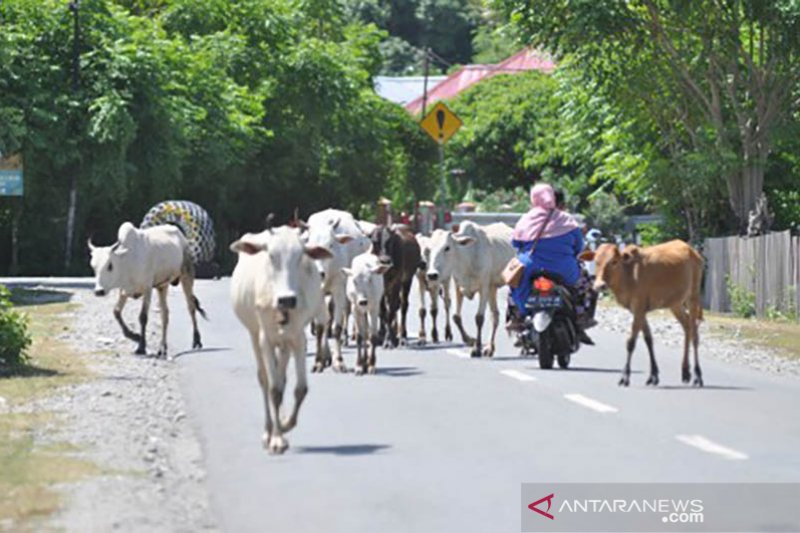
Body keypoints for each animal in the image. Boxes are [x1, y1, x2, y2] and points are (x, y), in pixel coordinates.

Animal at [88, 220, 206, 358]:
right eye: (93, 266)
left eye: (110, 265)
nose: (99, 291)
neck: (127, 261)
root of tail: (181, 237)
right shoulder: (124, 291)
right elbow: (116, 311)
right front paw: (133, 335)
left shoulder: (147, 289)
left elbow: (143, 317)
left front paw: (141, 347)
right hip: (162, 286)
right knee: (165, 314)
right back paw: (162, 348)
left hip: (187, 276)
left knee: (191, 307)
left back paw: (196, 340)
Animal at [228, 225, 332, 454]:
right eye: (271, 256)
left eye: (301, 256)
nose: (287, 299)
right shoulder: (264, 339)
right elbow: (273, 390)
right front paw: (276, 438)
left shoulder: (298, 338)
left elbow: (300, 388)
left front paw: (285, 425)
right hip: (254, 334)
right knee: (265, 380)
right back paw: (268, 431)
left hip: (284, 344)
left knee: (282, 377)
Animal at [304, 208, 370, 370]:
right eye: (311, 247)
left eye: (331, 245)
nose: (320, 273)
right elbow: (321, 327)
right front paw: (319, 361)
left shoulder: (339, 290)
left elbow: (336, 327)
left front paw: (338, 361)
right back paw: (326, 355)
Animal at [428, 220, 516, 358]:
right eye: (429, 249)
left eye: (447, 247)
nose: (432, 275)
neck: (467, 257)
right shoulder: (458, 286)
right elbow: (456, 317)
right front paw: (470, 340)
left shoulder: (484, 287)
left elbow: (479, 318)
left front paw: (477, 348)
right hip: (493, 288)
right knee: (495, 315)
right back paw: (490, 348)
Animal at [588, 241, 708, 386]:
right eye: (596, 261)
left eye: (614, 261)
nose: (599, 285)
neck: (628, 276)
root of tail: (694, 252)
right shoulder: (638, 310)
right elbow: (648, 339)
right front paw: (653, 375)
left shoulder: (639, 307)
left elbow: (631, 342)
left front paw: (625, 376)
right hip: (675, 303)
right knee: (687, 327)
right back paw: (685, 372)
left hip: (693, 297)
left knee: (695, 334)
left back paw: (697, 375)